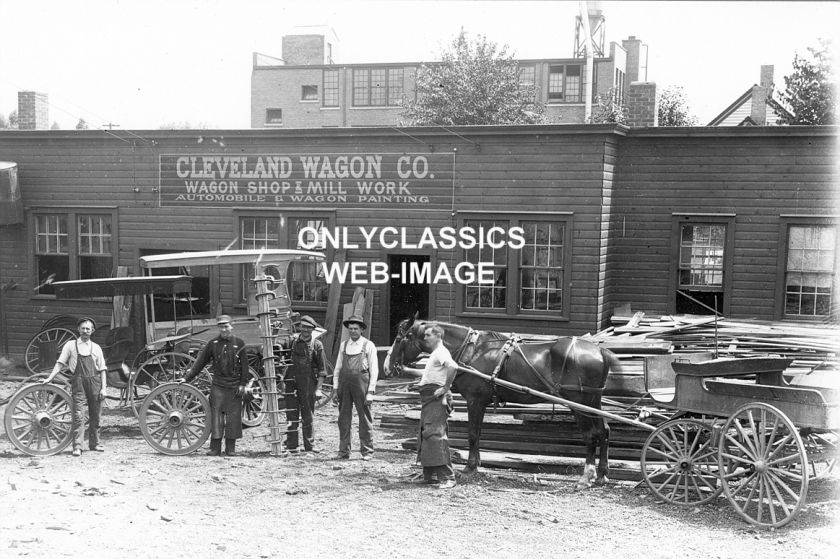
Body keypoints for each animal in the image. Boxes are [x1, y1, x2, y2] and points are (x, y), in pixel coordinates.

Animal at [386, 318, 616, 492]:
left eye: (398, 338)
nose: (387, 367)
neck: (473, 350)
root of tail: (600, 351)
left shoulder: (475, 400)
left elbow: (473, 434)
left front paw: (469, 467)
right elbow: (477, 434)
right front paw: (476, 464)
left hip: (579, 404)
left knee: (591, 436)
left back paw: (586, 477)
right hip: (593, 401)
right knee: (604, 431)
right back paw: (602, 474)